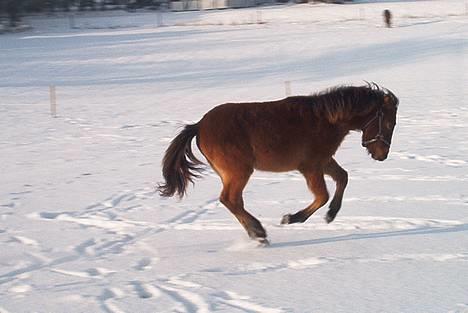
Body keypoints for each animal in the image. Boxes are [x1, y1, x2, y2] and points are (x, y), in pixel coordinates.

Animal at [157, 83, 398, 244]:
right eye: (388, 123)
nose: (382, 155)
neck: (326, 120)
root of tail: (199, 126)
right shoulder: (310, 167)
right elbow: (322, 196)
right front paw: (291, 218)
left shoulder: (323, 161)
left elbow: (343, 177)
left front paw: (331, 214)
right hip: (239, 172)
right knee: (230, 199)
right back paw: (259, 232)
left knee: (234, 202)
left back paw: (256, 233)